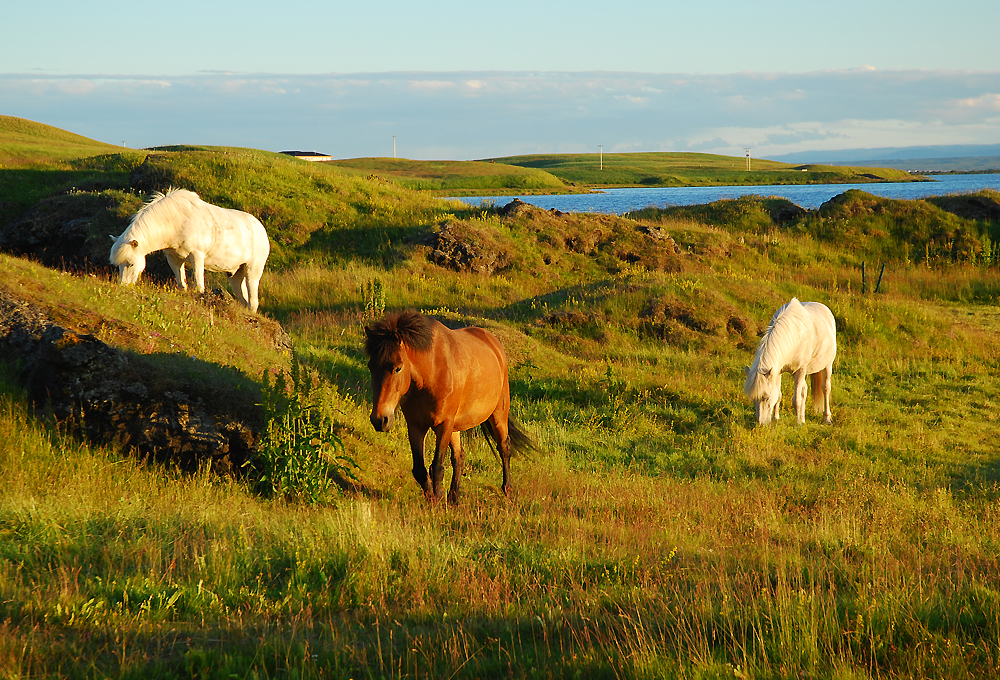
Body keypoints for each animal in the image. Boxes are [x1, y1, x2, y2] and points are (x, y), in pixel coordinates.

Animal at [110, 187, 270, 312]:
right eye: (118, 265)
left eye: (131, 264)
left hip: (252, 270)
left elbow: (199, 284)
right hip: (236, 273)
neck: (176, 221)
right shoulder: (173, 258)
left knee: (253, 302)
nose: (122, 287)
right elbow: (182, 283)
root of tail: (262, 230)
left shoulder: (197, 256)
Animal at [366, 310, 536, 502]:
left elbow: (437, 467)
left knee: (504, 448)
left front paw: (437, 500)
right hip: (455, 427)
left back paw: (507, 489)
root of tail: (493, 342)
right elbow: (420, 470)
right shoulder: (416, 426)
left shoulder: (443, 425)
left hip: (498, 415)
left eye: (398, 368)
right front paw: (434, 497)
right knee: (459, 457)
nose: (380, 419)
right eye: (371, 366)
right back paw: (453, 498)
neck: (432, 373)